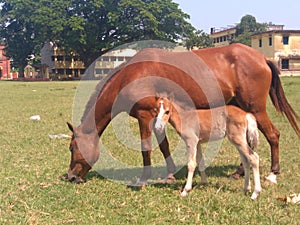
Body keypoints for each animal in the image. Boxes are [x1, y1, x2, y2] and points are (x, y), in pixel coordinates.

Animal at [64, 43, 298, 185]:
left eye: (72, 147)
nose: (70, 177)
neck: (132, 75)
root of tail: (261, 58)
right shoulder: (156, 116)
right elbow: (164, 145)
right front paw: (169, 174)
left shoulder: (144, 116)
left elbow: (146, 148)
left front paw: (144, 178)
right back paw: (240, 171)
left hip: (256, 109)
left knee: (273, 135)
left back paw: (273, 172)